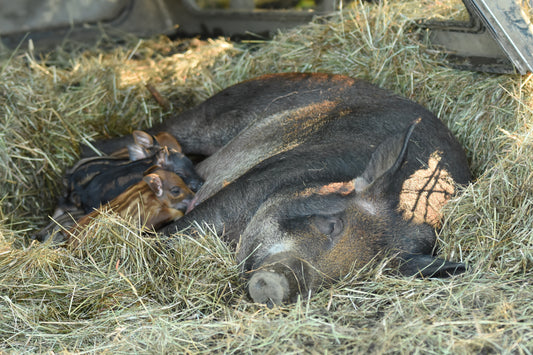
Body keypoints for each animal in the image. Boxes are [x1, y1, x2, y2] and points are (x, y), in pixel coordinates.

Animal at [85, 73, 472, 306]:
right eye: (332, 224)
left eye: (351, 275)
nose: (278, 286)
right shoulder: (249, 185)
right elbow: (180, 231)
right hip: (222, 108)